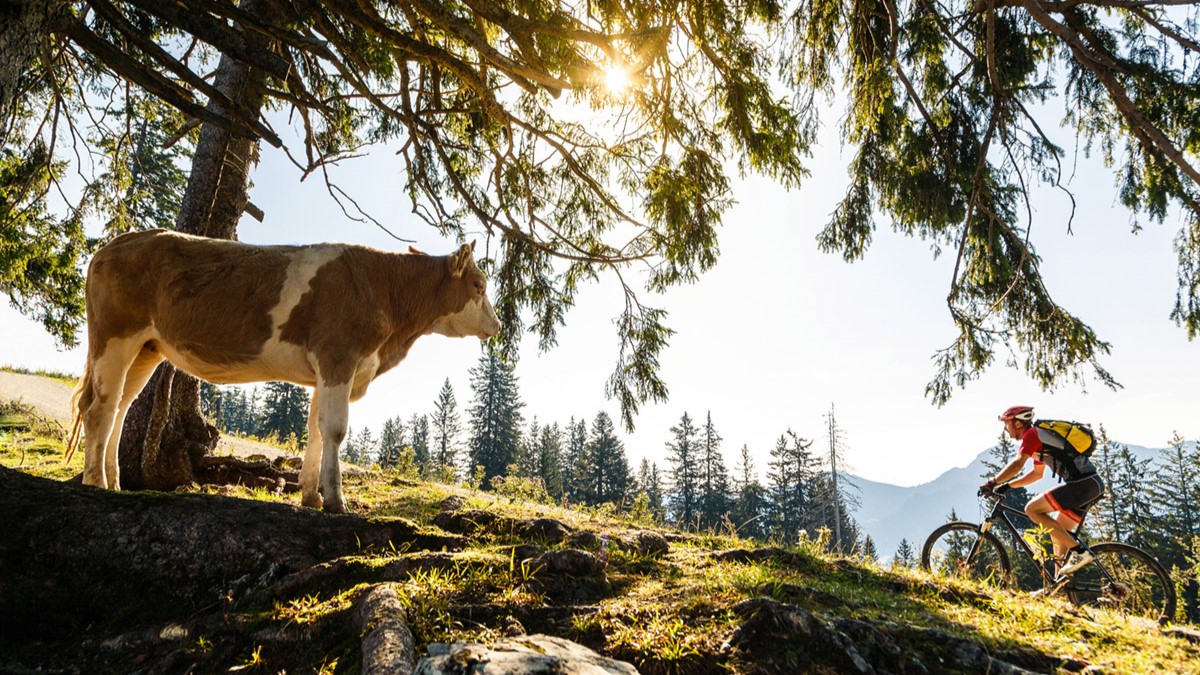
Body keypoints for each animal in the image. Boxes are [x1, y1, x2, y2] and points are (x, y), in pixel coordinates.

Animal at [65, 228, 501, 511]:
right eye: (478, 285)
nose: (497, 326)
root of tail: (116, 243)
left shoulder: (326, 371)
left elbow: (315, 430)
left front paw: (309, 495)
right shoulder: (338, 356)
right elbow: (335, 430)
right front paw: (336, 501)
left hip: (146, 347)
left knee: (119, 406)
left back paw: (115, 483)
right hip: (115, 336)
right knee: (99, 408)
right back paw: (96, 484)